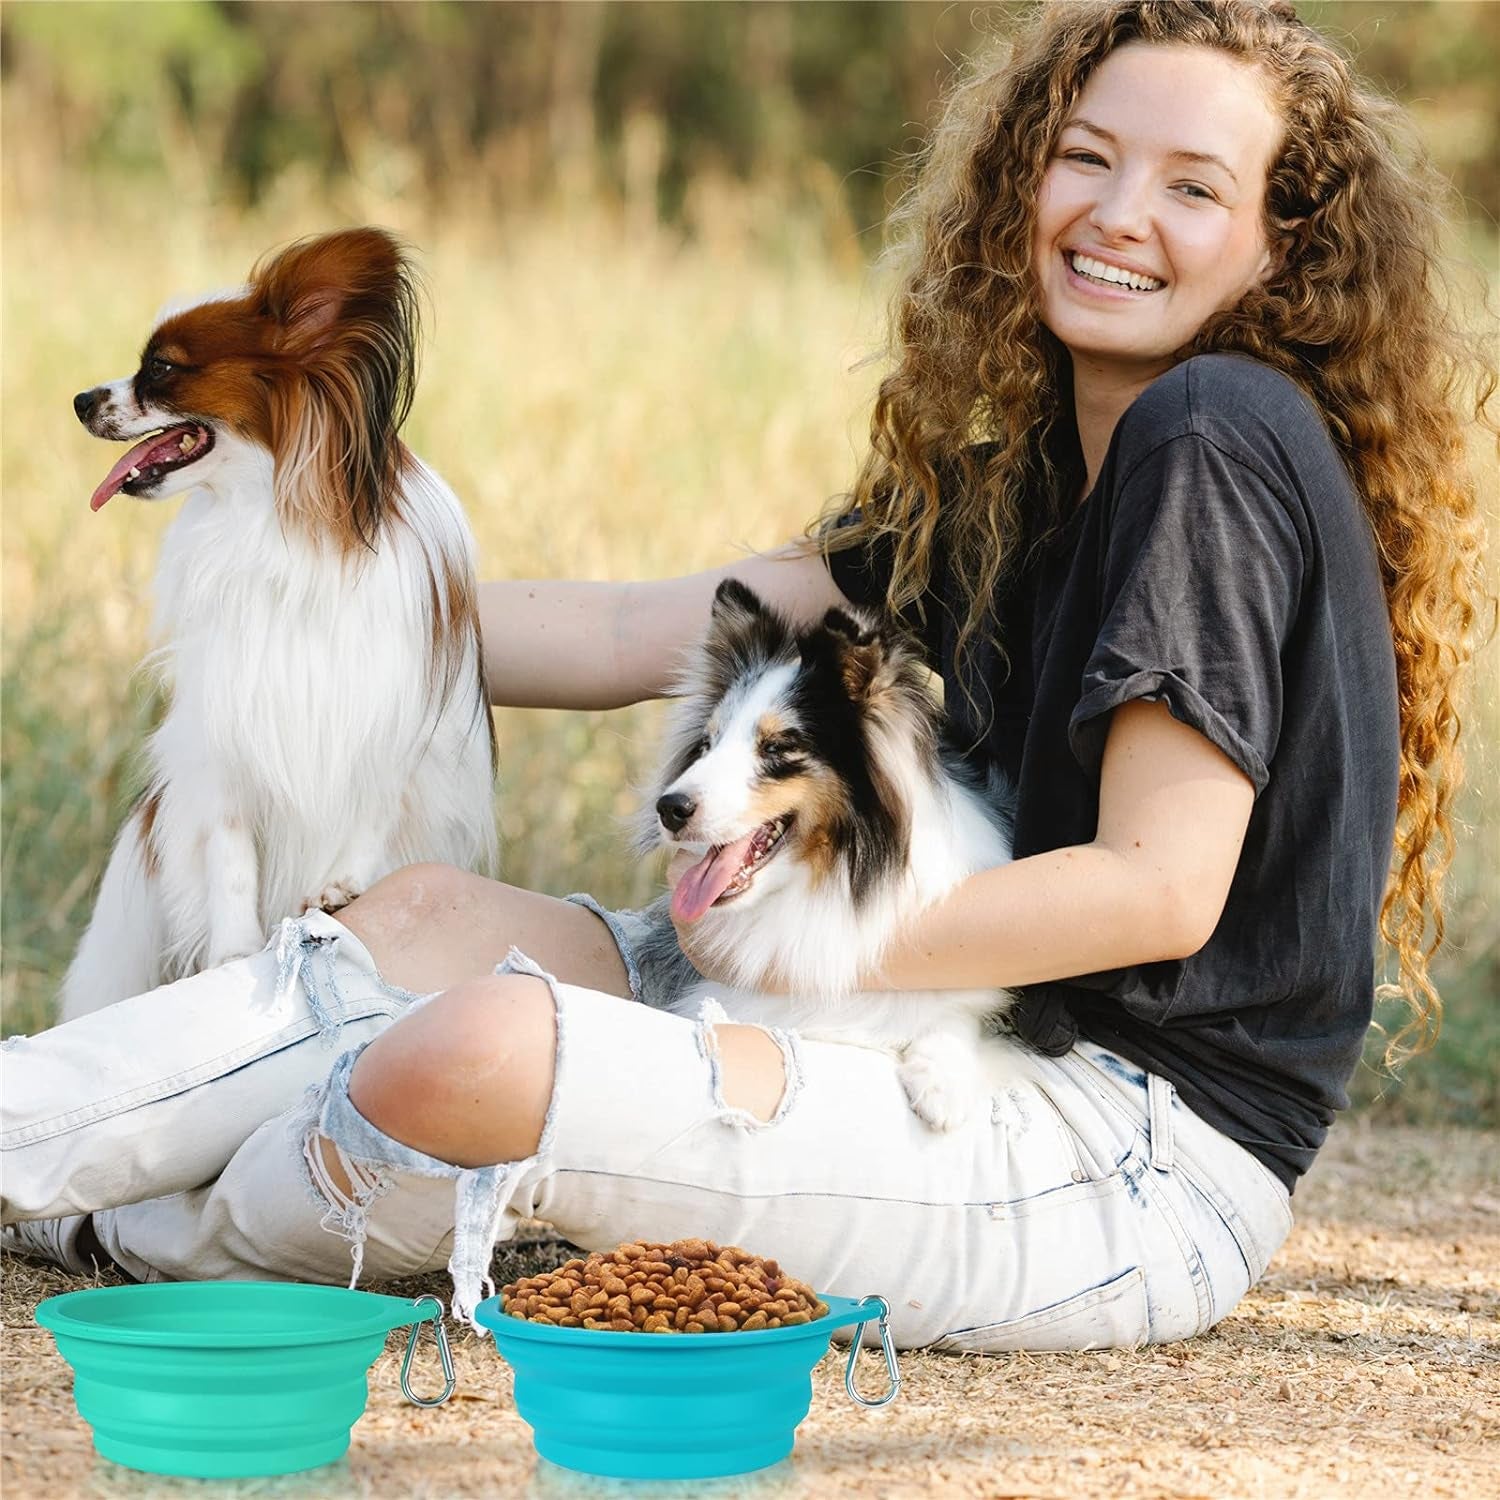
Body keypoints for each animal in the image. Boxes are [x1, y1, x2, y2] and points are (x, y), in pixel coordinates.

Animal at [60, 222, 498, 1026]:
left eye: (161, 370)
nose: (79, 399)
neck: (274, 512)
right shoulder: (223, 728)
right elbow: (231, 851)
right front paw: (234, 949)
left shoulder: (391, 711)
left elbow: (372, 805)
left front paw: (342, 883)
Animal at [633, 579, 1020, 1128]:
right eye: (707, 745)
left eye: (777, 747)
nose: (669, 808)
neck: (828, 881)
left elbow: (959, 1010)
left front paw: (943, 1081)